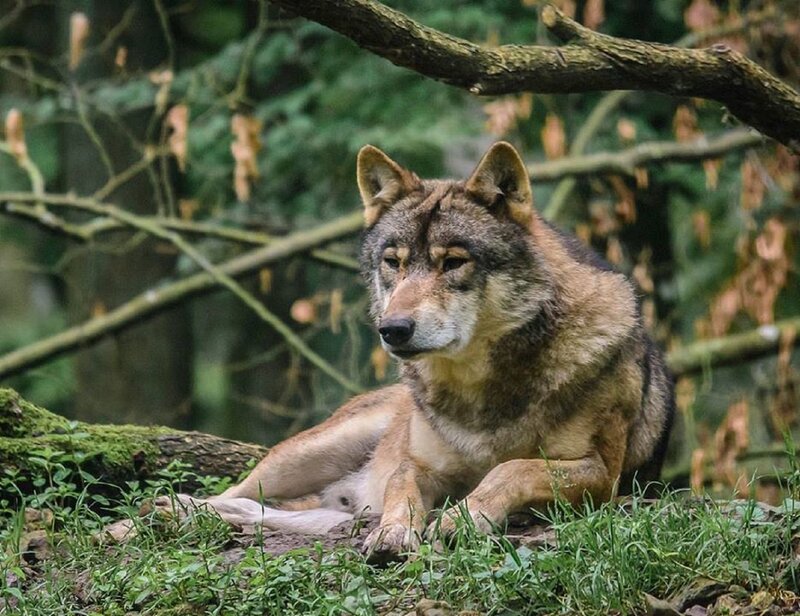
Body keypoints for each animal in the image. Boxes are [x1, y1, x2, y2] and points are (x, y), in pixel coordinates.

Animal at [152, 141, 674, 559]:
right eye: (394, 262)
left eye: (453, 262)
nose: (393, 329)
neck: (480, 393)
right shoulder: (419, 466)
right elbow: (402, 489)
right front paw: (395, 532)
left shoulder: (601, 474)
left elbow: (512, 468)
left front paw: (463, 517)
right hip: (310, 453)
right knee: (240, 490)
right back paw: (169, 512)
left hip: (327, 505)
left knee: (266, 510)